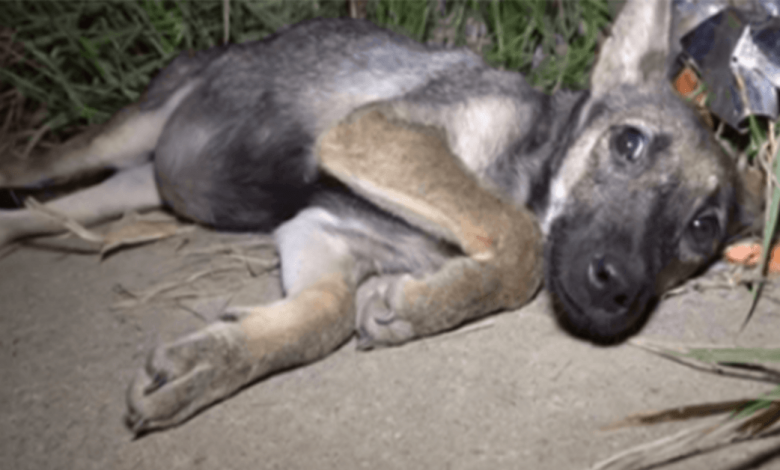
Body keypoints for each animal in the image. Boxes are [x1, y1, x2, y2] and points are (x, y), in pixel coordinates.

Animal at [0, 0, 760, 434]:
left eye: (702, 229)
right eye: (628, 143)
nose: (619, 286)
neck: (527, 167)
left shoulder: (322, 231)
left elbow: (325, 316)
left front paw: (213, 358)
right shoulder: (375, 134)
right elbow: (517, 244)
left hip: (124, 191)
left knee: (43, 216)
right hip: (112, 140)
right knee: (29, 174)